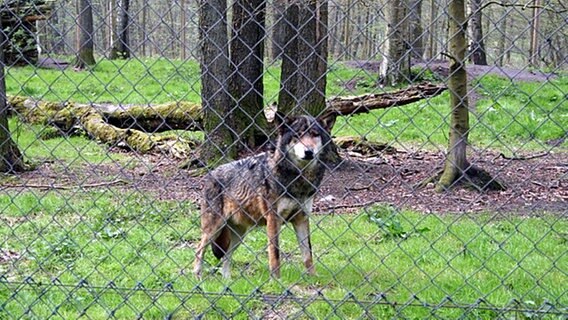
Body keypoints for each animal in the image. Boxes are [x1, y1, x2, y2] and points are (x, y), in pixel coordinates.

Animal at [193, 112, 336, 278]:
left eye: (314, 135)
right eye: (297, 135)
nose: (308, 152)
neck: (299, 179)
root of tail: (211, 174)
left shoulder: (302, 218)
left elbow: (308, 255)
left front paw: (314, 278)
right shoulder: (273, 219)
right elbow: (275, 255)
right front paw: (276, 280)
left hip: (239, 234)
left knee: (226, 257)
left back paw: (226, 280)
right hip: (214, 228)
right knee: (199, 249)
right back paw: (197, 277)